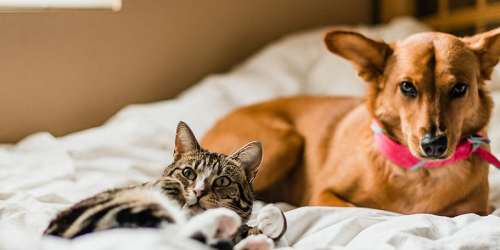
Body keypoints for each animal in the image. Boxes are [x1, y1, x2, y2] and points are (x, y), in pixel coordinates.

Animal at [202, 27, 500, 217]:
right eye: (407, 87)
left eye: (460, 88)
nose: (434, 144)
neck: (420, 174)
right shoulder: (323, 195)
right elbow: (362, 210)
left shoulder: (475, 211)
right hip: (285, 142)